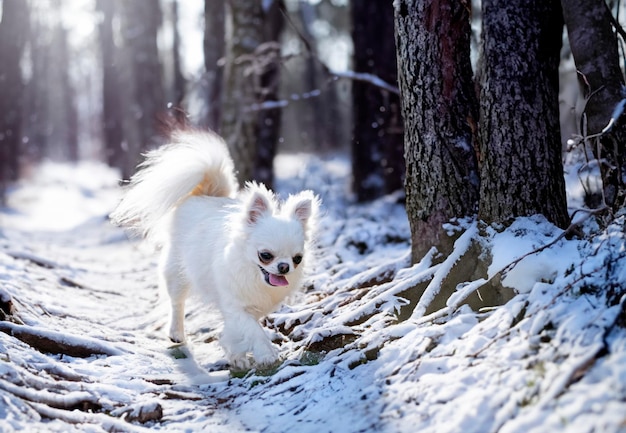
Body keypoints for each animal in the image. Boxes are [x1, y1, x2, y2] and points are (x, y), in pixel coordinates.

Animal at [109, 129, 320, 368]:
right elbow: (253, 330)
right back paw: (176, 333)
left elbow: (237, 329)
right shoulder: (235, 305)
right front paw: (265, 353)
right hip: (178, 272)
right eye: (265, 256)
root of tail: (205, 194)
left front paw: (235, 354)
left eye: (297, 259)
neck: (254, 276)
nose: (284, 267)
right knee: (177, 302)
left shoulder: (249, 307)